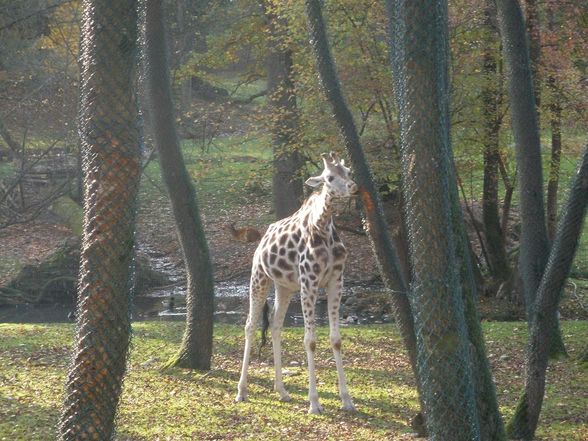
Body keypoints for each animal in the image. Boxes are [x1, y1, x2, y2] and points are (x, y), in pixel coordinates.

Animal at [235, 150, 358, 412]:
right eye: (329, 177)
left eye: (348, 171)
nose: (352, 187)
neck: (323, 228)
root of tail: (262, 238)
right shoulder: (309, 282)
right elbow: (309, 340)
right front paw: (314, 403)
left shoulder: (336, 281)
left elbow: (336, 339)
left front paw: (347, 400)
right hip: (259, 278)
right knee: (250, 325)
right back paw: (241, 391)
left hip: (284, 287)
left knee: (275, 324)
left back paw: (281, 390)